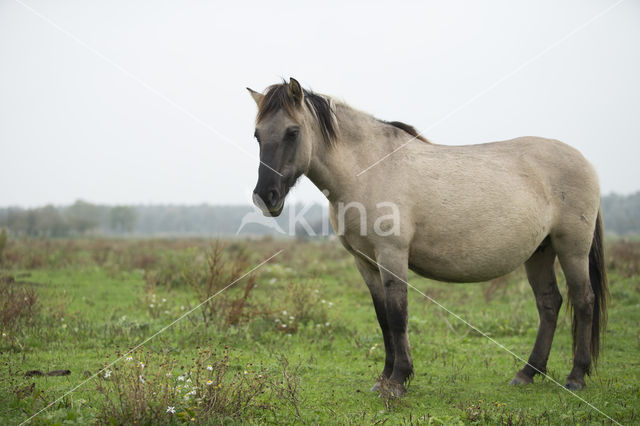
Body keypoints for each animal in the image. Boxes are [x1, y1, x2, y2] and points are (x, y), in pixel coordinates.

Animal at [246, 77, 608, 396]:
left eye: (293, 132)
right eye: (257, 135)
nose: (266, 197)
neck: (369, 168)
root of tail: (584, 161)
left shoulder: (392, 256)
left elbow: (398, 315)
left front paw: (397, 381)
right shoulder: (365, 262)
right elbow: (383, 318)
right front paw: (384, 377)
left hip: (571, 249)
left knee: (584, 300)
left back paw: (576, 376)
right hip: (540, 252)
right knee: (549, 303)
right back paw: (528, 373)